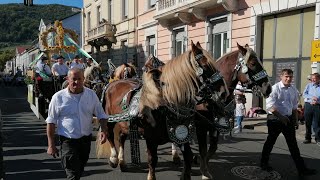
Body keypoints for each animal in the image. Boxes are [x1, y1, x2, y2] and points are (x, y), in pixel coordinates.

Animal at [96, 41, 229, 180]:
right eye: (205, 66)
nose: (224, 93)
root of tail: (112, 83)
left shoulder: (181, 134)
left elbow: (188, 157)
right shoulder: (151, 138)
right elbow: (152, 160)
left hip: (126, 124)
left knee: (121, 137)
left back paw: (122, 162)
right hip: (110, 119)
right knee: (110, 135)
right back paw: (114, 159)